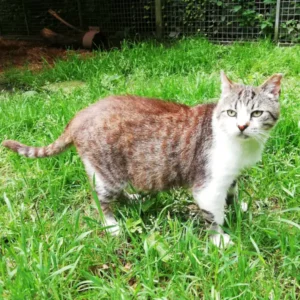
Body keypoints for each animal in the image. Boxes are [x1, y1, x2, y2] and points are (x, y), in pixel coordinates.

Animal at [1, 71, 282, 247]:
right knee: (99, 196)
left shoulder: (230, 176)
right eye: (232, 112)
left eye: (257, 113)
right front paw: (219, 238)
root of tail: (80, 114)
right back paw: (111, 224)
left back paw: (133, 199)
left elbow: (233, 192)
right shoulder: (207, 185)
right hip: (109, 172)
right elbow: (214, 215)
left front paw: (237, 207)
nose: (243, 126)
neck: (239, 145)